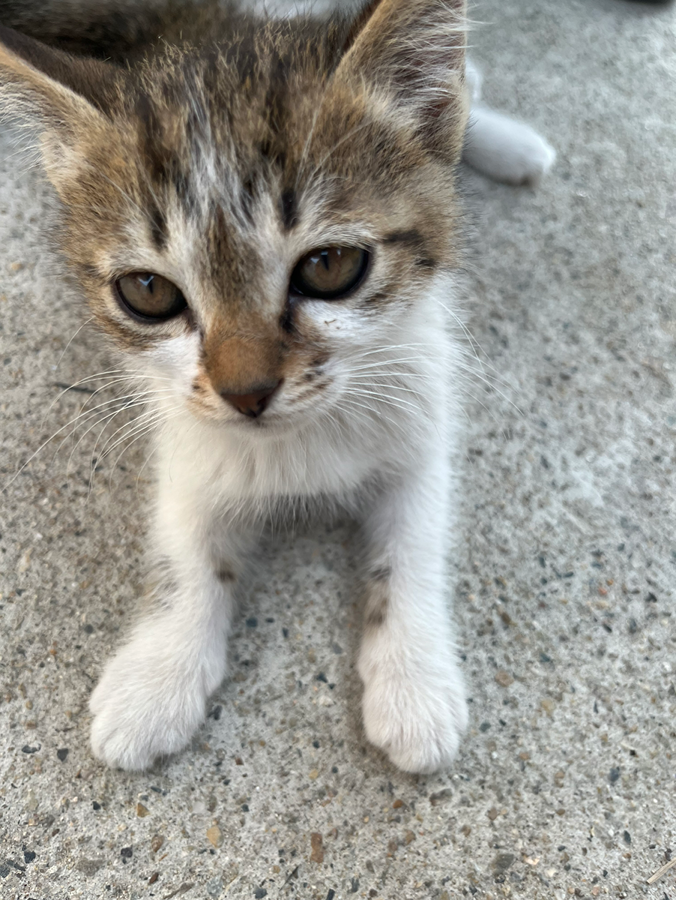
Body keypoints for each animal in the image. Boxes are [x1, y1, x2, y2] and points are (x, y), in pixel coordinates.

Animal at [0, 0, 548, 772]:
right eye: (147, 292)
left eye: (330, 265)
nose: (246, 393)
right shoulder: (185, 436)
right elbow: (185, 549)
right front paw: (155, 676)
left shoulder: (422, 410)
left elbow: (413, 545)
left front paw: (414, 683)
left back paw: (507, 140)